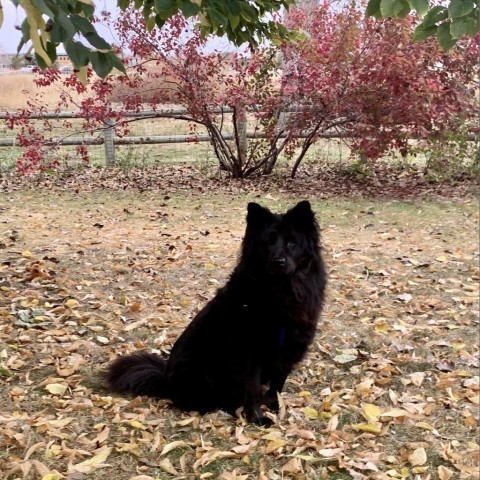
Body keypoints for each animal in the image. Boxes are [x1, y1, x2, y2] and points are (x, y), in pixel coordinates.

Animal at [106, 201, 326, 426]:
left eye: (291, 243)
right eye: (268, 243)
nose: (278, 261)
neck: (280, 292)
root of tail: (165, 379)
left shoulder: (289, 349)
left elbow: (277, 386)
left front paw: (276, 407)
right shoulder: (249, 354)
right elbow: (252, 389)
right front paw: (256, 418)